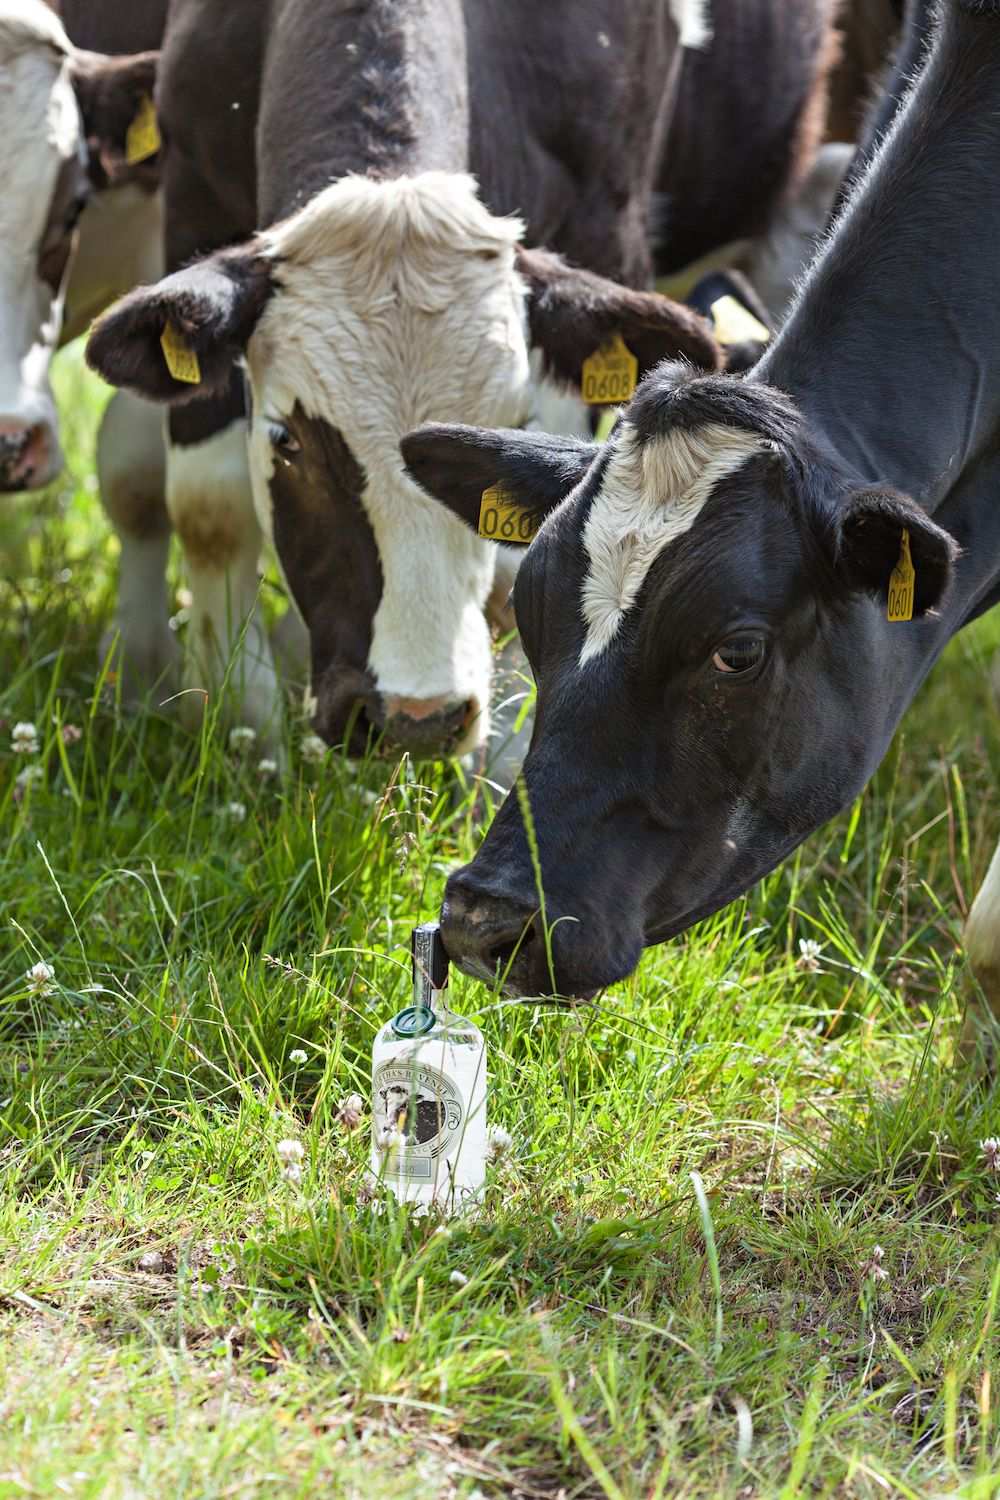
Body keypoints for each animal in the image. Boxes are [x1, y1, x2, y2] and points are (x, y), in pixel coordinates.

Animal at [85, 0, 839, 761]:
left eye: (510, 423)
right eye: (286, 440)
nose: (413, 718)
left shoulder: (608, 233)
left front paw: (506, 762)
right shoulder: (190, 202)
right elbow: (209, 506)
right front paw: (246, 730)